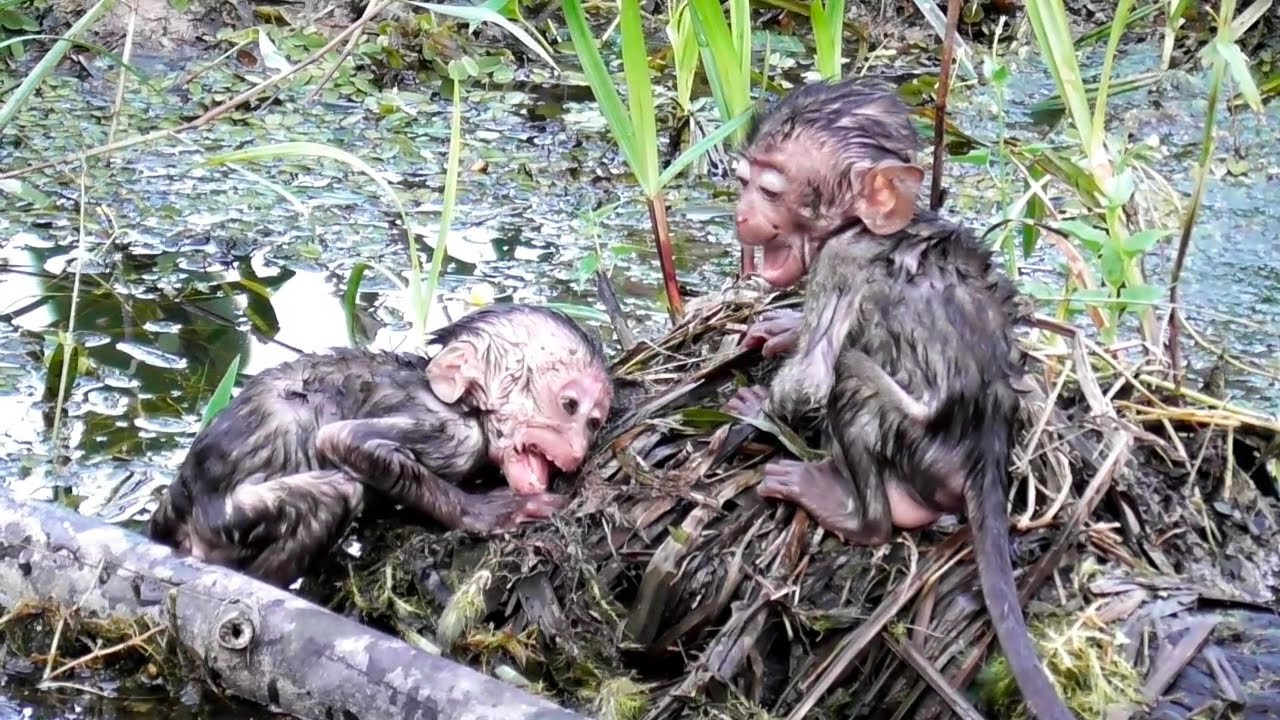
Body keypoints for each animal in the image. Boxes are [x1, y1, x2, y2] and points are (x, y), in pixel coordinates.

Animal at [148, 304, 613, 588]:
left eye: (594, 422)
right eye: (569, 405)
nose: (577, 450)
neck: (463, 404)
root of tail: (176, 506)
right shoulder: (451, 432)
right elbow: (341, 439)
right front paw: (490, 512)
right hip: (226, 523)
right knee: (337, 492)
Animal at [722, 78, 1074, 720]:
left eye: (770, 190)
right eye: (745, 182)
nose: (741, 214)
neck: (870, 226)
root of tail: (990, 443)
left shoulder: (840, 261)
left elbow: (812, 378)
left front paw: (757, 407)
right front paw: (782, 327)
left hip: (917, 449)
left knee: (850, 377)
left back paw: (859, 517)